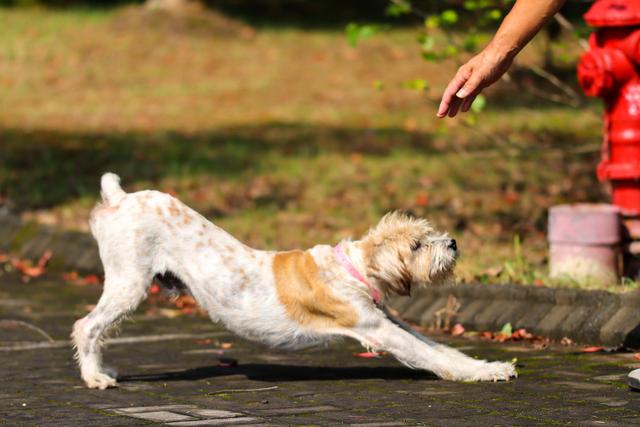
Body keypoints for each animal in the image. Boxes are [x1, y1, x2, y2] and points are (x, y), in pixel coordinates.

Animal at [72, 174, 516, 392]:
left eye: (428, 232)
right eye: (418, 244)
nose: (453, 243)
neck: (353, 267)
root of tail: (119, 198)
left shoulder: (389, 320)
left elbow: (442, 348)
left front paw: (491, 368)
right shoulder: (378, 330)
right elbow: (430, 355)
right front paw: (478, 375)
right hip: (128, 283)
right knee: (86, 326)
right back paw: (95, 378)